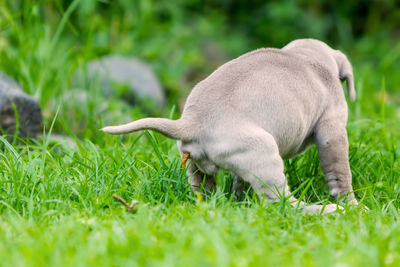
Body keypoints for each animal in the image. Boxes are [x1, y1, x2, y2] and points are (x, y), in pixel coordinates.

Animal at [101, 38, 358, 214]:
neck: (305, 56)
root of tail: (192, 121)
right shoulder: (332, 128)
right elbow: (340, 171)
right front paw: (352, 204)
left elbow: (239, 181)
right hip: (264, 152)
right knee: (280, 202)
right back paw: (326, 211)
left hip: (203, 164)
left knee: (205, 190)